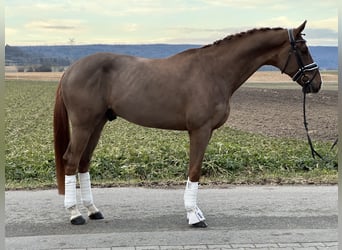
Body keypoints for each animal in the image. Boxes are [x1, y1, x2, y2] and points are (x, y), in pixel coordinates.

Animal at [52, 21, 320, 227]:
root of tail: (70, 69)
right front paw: (194, 216)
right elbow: (195, 170)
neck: (214, 71)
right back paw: (75, 214)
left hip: (97, 124)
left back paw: (93, 210)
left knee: (84, 162)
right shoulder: (200, 131)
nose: (317, 83)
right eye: (303, 48)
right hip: (84, 125)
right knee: (71, 161)